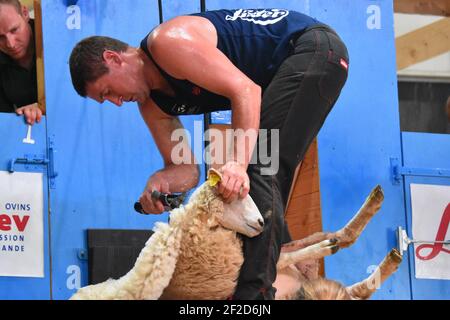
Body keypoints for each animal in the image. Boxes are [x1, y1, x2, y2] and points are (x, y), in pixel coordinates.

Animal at [71, 170, 404, 300]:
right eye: (233, 198)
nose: (259, 222)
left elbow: (303, 249)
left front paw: (329, 243)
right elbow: (302, 252)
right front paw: (327, 246)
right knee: (355, 287)